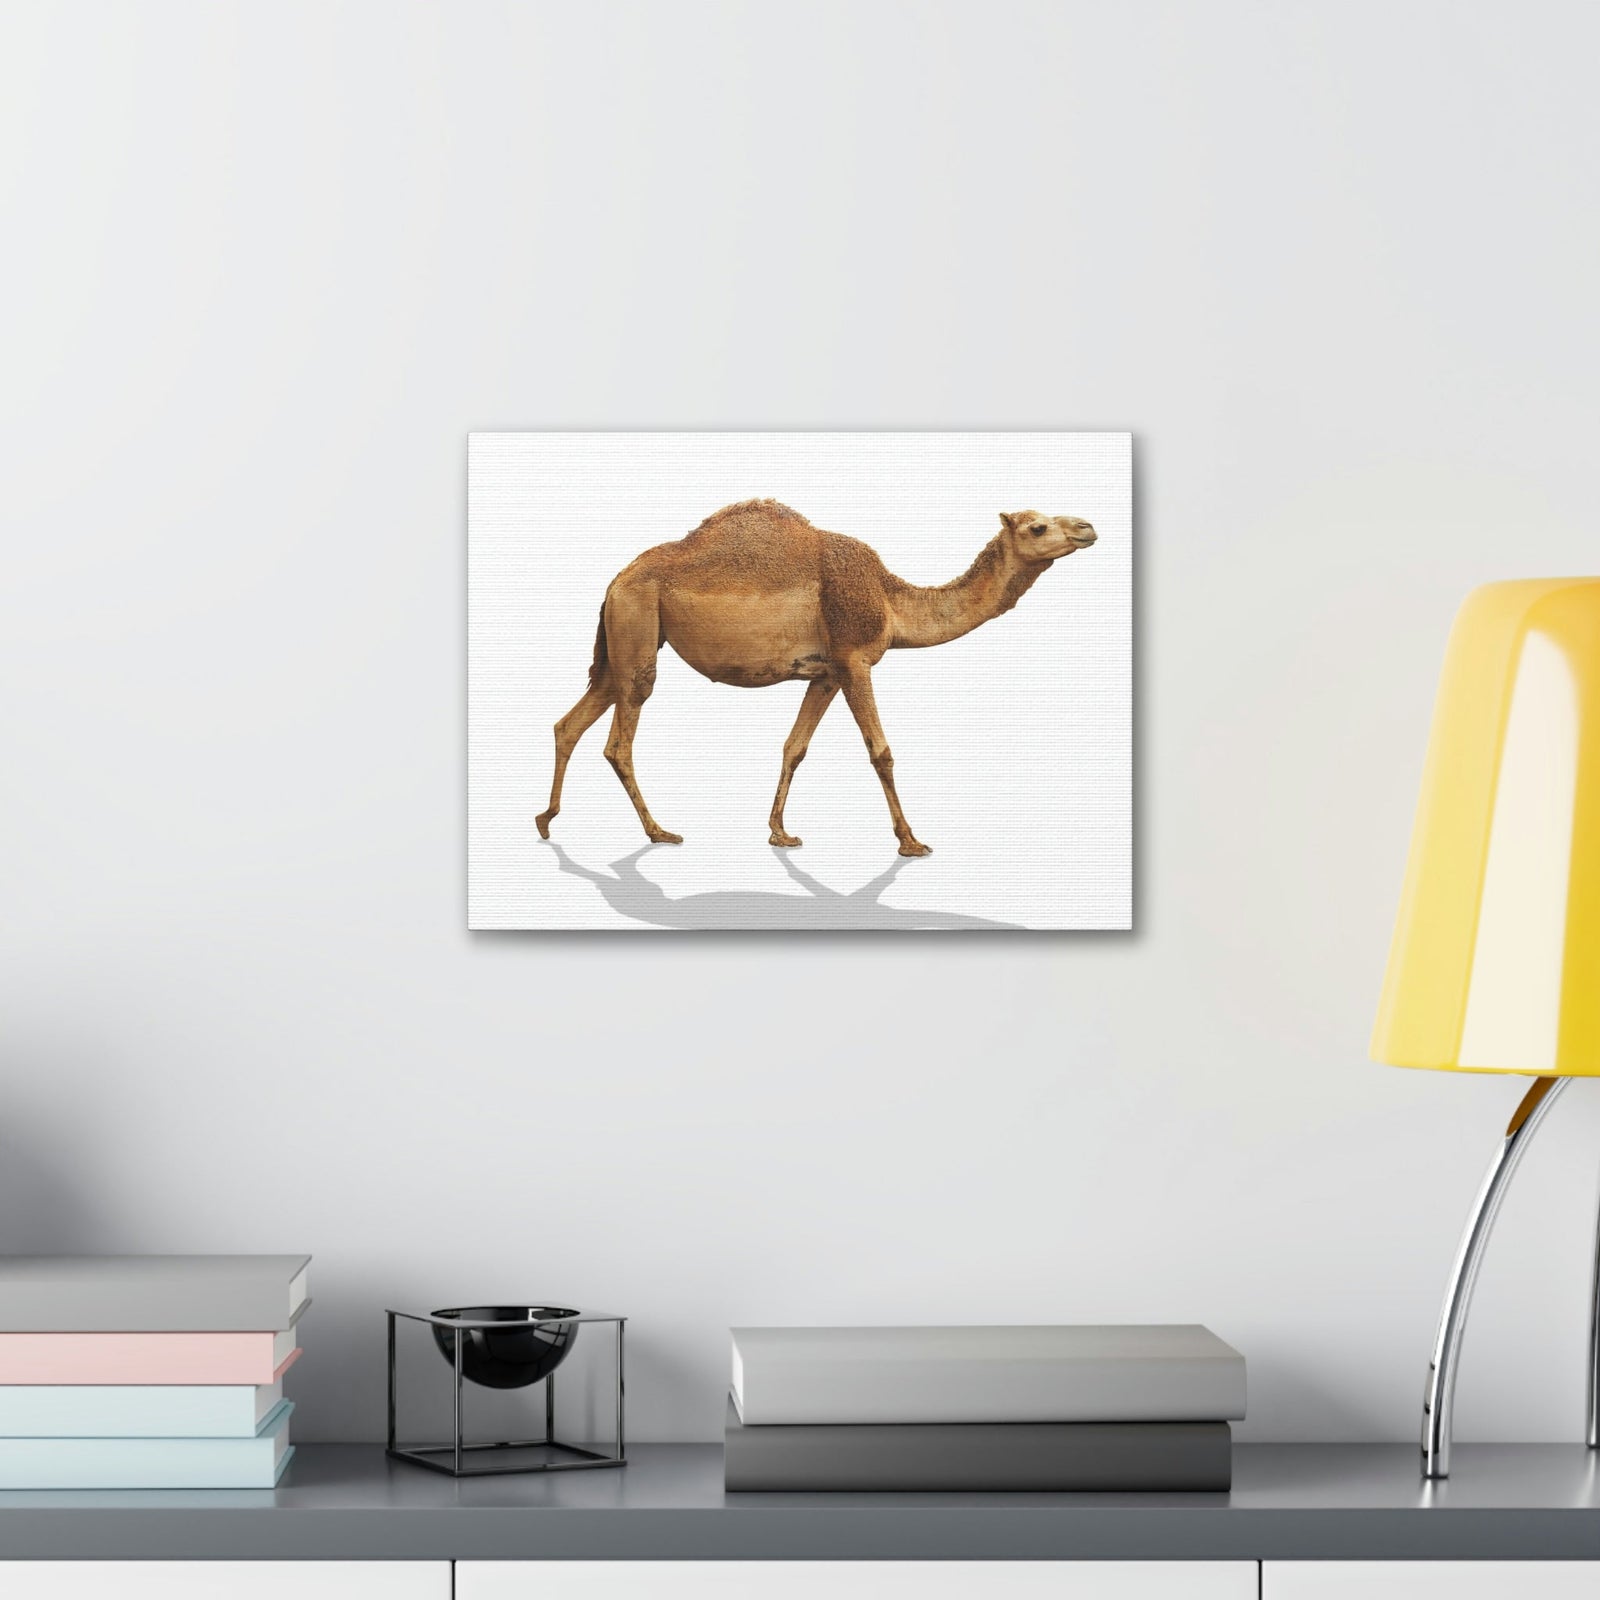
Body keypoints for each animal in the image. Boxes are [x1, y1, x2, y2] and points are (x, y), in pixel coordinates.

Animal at [535, 499, 1097, 857]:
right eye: (1037, 527)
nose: (1088, 527)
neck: (889, 598)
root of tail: (615, 581)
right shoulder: (854, 659)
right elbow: (881, 751)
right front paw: (910, 842)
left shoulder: (824, 674)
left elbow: (794, 747)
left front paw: (779, 833)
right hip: (638, 625)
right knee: (620, 739)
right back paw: (659, 833)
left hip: (627, 640)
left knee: (574, 719)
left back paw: (546, 821)